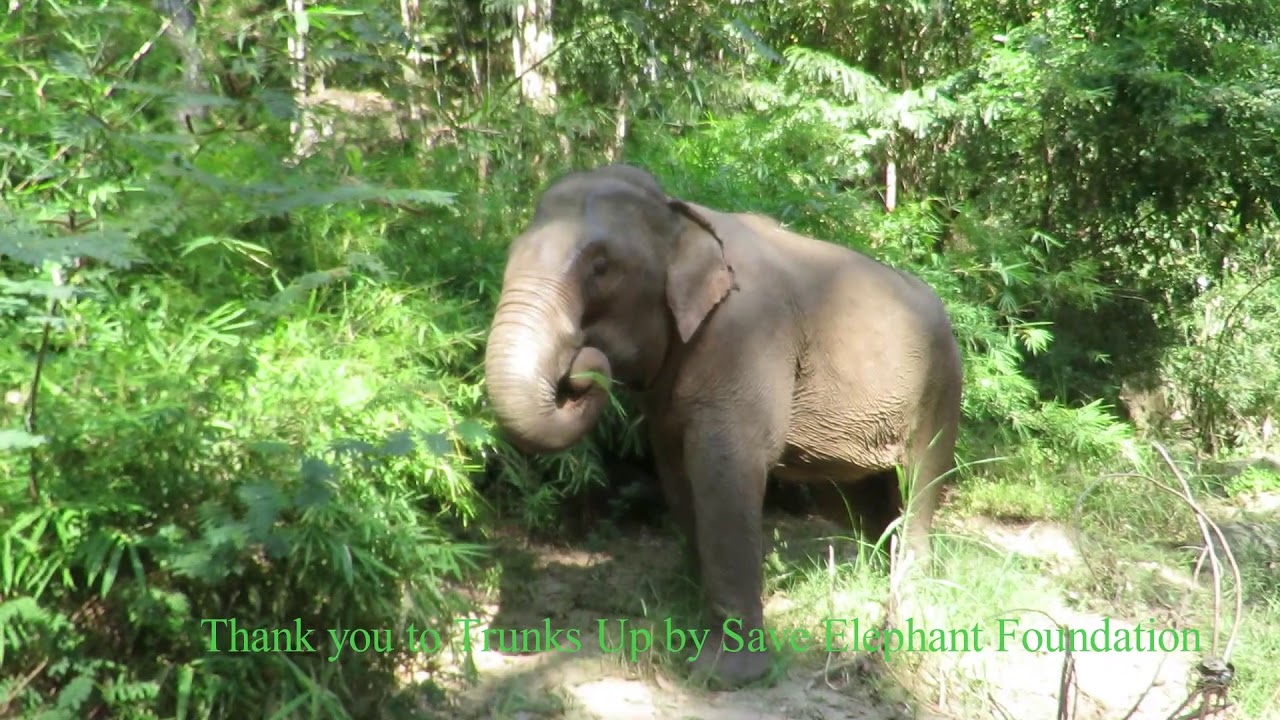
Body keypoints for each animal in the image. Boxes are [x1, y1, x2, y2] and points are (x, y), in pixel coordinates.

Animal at [482, 164, 963, 688]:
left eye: (601, 267)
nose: (577, 370)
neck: (679, 216)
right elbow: (675, 468)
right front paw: (690, 617)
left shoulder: (749, 337)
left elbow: (725, 466)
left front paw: (722, 674)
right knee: (855, 498)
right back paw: (873, 571)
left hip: (941, 387)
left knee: (920, 482)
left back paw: (906, 595)